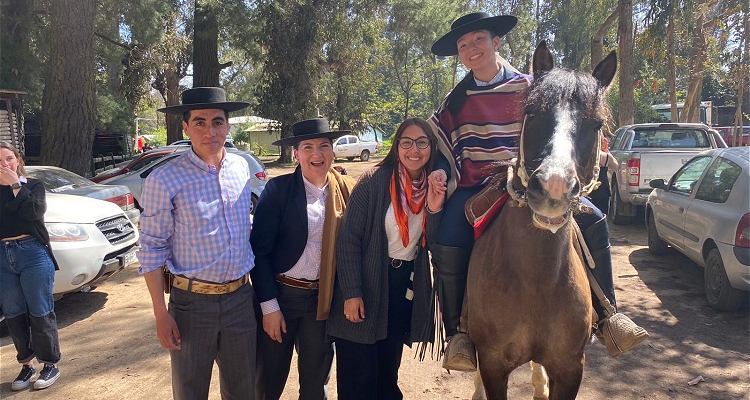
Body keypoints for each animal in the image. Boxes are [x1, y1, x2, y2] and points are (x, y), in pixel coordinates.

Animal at [468, 41, 620, 400]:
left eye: (596, 124)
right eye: (532, 113)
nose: (554, 187)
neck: (535, 281)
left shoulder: (570, 367)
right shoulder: (493, 365)